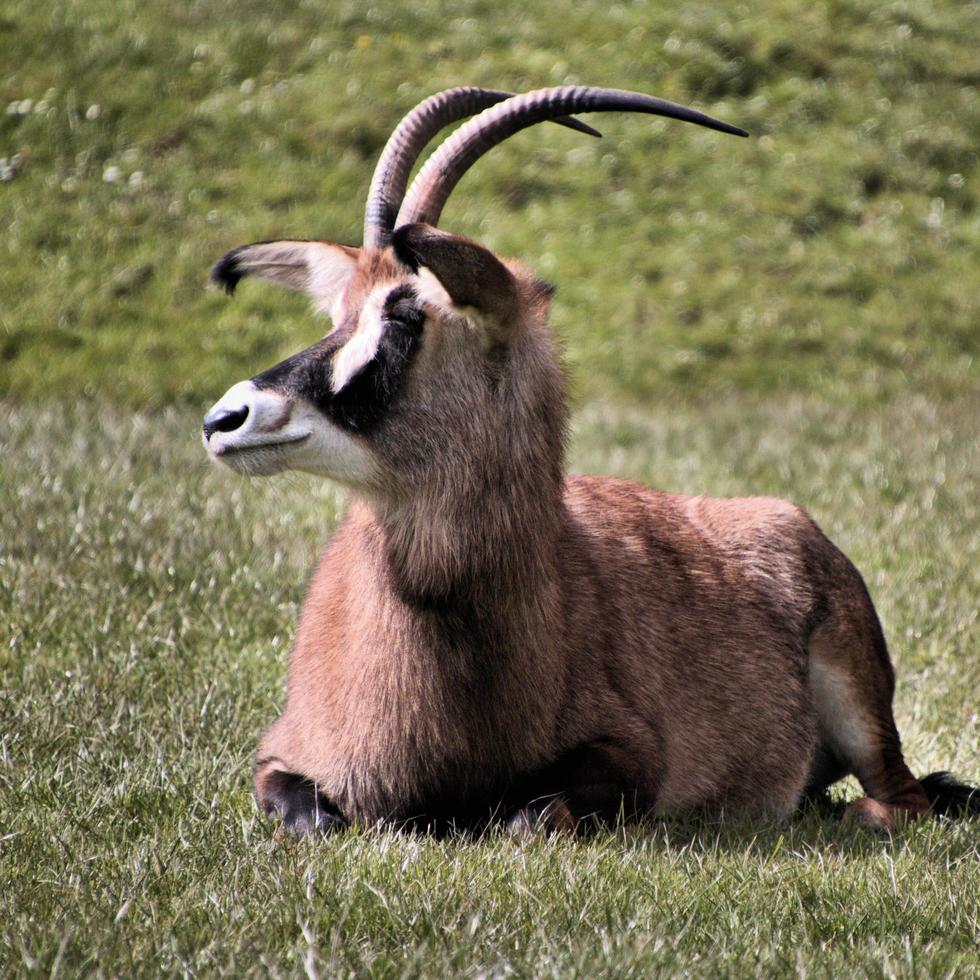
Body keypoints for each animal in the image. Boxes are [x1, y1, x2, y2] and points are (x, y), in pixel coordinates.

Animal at [203, 86, 976, 836]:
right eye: (338, 314)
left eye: (406, 316)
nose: (225, 419)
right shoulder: (283, 754)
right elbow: (313, 818)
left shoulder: (632, 755)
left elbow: (531, 816)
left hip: (863, 716)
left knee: (902, 800)